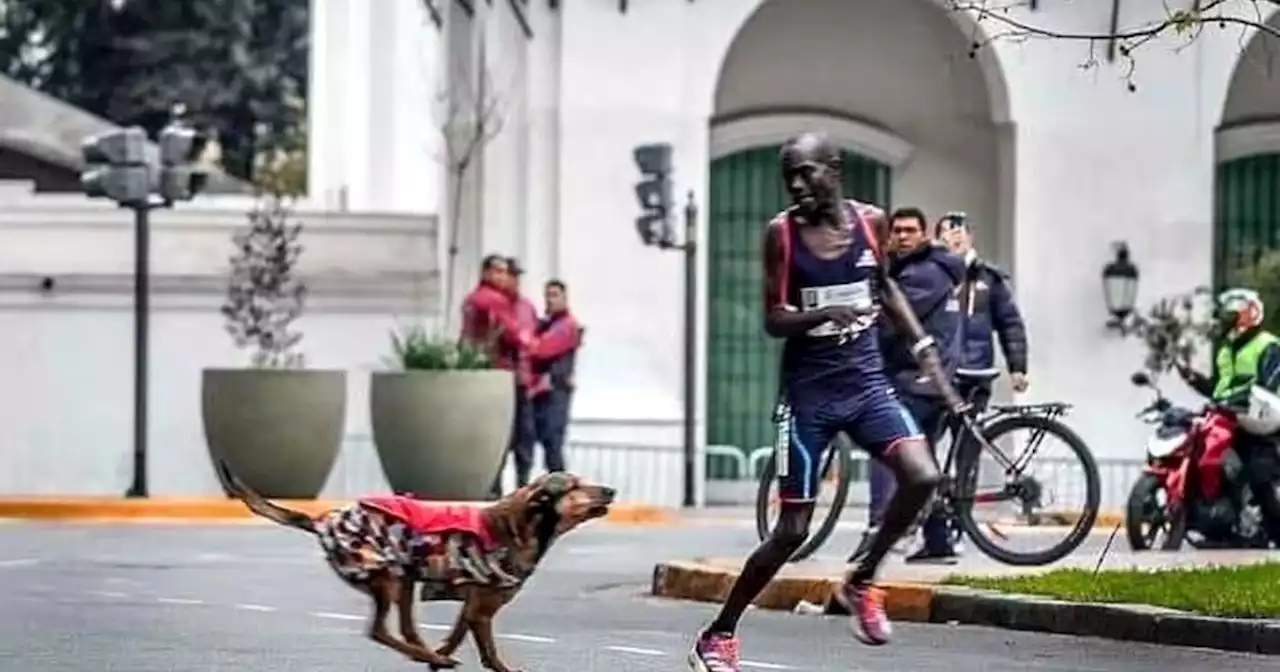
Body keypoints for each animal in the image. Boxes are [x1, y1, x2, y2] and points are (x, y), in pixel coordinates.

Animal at [217, 460, 616, 670]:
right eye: (575, 486)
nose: (611, 490)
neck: (523, 527)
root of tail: (324, 521)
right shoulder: (482, 610)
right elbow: (489, 652)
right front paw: (491, 665)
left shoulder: (472, 606)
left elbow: (455, 635)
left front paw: (439, 656)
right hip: (387, 576)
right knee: (379, 631)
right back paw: (423, 653)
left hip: (404, 577)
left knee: (406, 629)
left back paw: (427, 653)